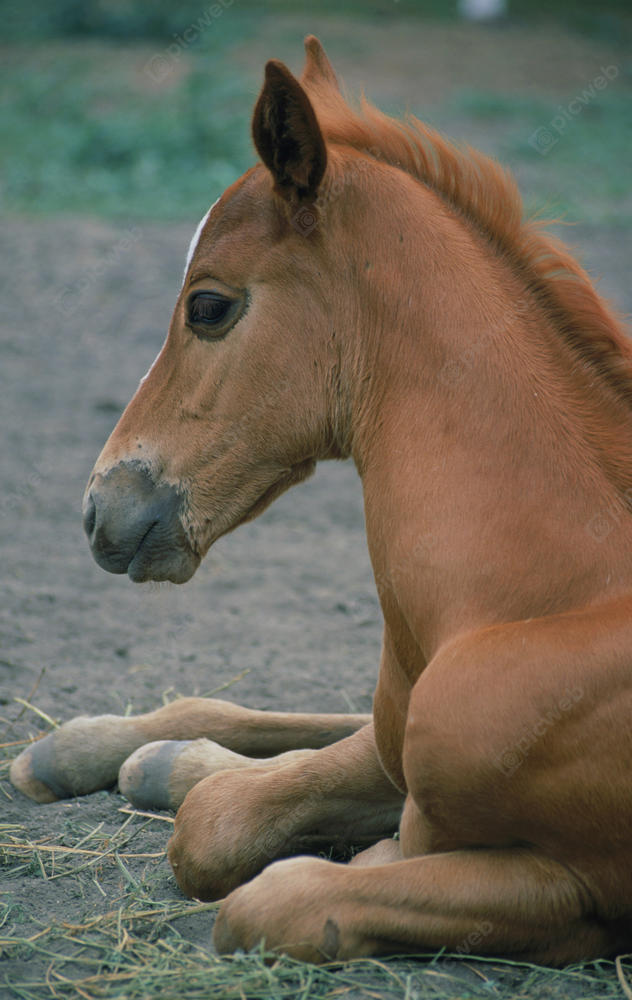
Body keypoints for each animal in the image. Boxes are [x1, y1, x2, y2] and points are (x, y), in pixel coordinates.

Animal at [11, 37, 632, 960]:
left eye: (208, 306)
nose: (100, 508)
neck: (545, 596)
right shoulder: (398, 745)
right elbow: (229, 814)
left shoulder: (590, 883)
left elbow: (273, 889)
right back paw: (112, 750)